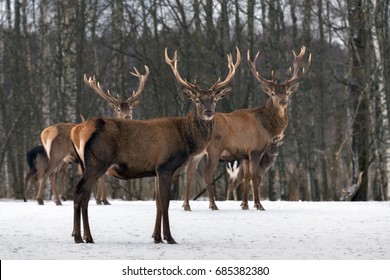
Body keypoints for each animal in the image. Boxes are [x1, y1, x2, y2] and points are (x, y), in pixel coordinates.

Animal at [29, 66, 149, 205]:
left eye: (130, 108)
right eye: (118, 109)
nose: (128, 117)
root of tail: (45, 133)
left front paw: (100, 199)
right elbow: (101, 177)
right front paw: (102, 200)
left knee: (53, 174)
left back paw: (57, 200)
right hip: (56, 153)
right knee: (47, 172)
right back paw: (41, 200)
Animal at [70, 47, 241, 243]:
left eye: (214, 99)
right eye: (197, 99)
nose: (208, 112)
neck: (185, 138)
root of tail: (77, 131)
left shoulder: (156, 171)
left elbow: (158, 203)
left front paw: (156, 236)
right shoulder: (165, 166)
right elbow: (165, 202)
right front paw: (169, 237)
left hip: (87, 164)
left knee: (84, 196)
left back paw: (83, 235)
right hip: (97, 161)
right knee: (79, 191)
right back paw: (81, 236)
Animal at [183, 47, 310, 211]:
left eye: (287, 92)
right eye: (273, 93)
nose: (283, 101)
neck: (267, 127)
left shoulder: (245, 154)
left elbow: (247, 177)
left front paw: (244, 204)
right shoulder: (256, 150)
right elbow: (254, 177)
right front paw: (258, 204)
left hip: (198, 152)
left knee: (189, 173)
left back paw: (186, 205)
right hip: (214, 149)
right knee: (206, 173)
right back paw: (213, 205)